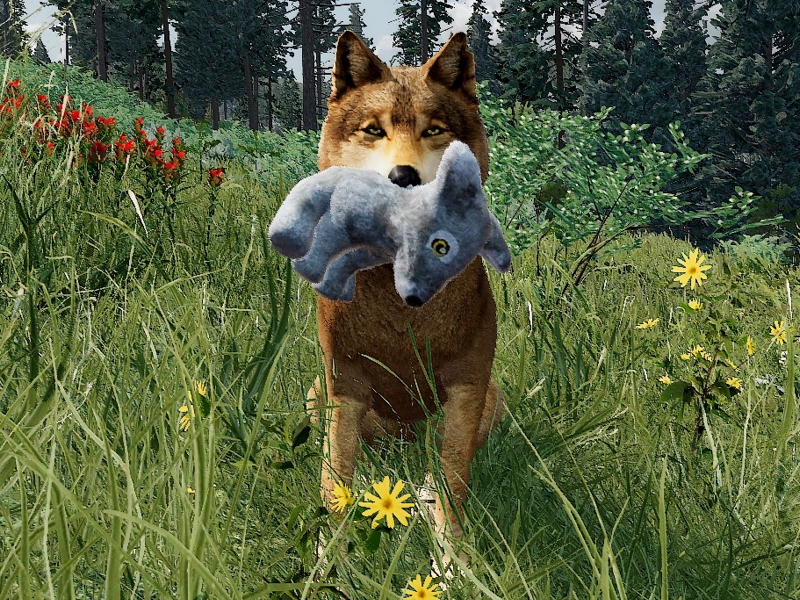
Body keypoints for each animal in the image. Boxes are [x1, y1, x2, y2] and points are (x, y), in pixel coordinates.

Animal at [308, 30, 505, 541]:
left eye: (433, 130)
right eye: (373, 130)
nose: (403, 176)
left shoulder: (468, 386)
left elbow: (453, 482)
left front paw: (452, 553)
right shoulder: (343, 385)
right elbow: (334, 483)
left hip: (492, 397)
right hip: (318, 393)